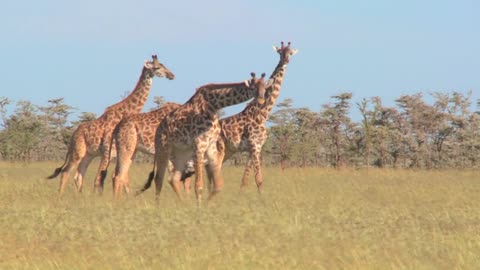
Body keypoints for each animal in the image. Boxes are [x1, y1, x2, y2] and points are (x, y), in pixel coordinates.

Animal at [46, 55, 174, 194]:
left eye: (163, 65)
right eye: (157, 67)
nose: (171, 75)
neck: (124, 113)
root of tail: (73, 135)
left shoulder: (116, 154)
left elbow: (120, 179)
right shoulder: (107, 152)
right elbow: (101, 179)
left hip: (88, 155)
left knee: (78, 176)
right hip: (78, 152)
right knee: (66, 172)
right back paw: (61, 197)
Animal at [136, 71, 270, 202]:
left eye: (265, 88)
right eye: (253, 88)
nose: (261, 101)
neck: (214, 105)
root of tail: (159, 128)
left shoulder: (211, 145)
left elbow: (218, 185)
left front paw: (206, 204)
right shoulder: (199, 144)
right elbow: (199, 185)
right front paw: (199, 206)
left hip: (181, 153)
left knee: (173, 178)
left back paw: (183, 204)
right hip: (163, 149)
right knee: (159, 179)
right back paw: (158, 205)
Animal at [203, 40, 298, 192]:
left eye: (290, 52)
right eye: (280, 52)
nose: (286, 60)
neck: (262, 113)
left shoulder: (253, 148)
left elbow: (245, 180)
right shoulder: (255, 145)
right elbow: (259, 179)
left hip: (227, 151)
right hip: (219, 149)